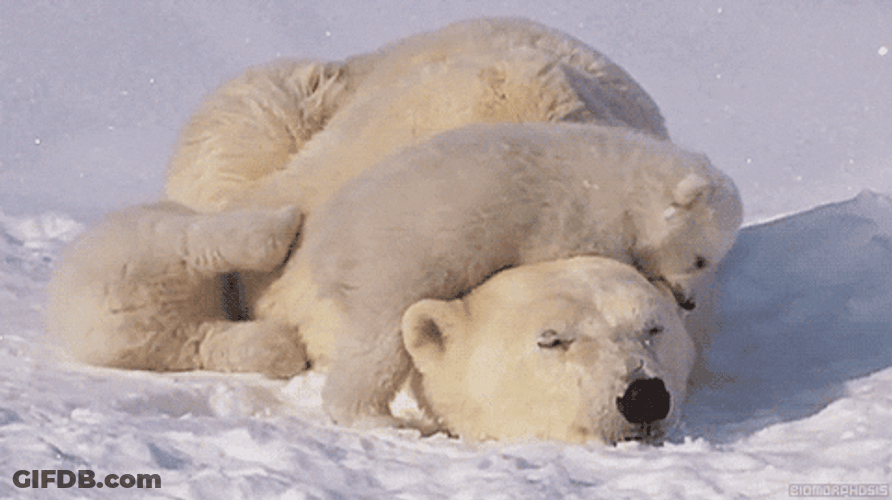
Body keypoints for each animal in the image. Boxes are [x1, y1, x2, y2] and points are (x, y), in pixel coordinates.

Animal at [46, 202, 308, 378]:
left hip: (160, 341)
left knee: (211, 341)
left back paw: (287, 348)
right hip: (161, 248)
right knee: (206, 241)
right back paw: (289, 217)